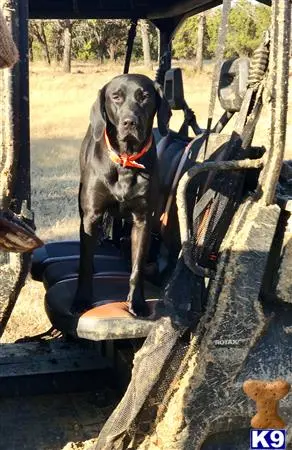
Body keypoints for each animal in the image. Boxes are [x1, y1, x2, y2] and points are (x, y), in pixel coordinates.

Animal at [72, 74, 170, 314]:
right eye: (116, 97)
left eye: (144, 96)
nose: (129, 122)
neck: (126, 161)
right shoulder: (92, 215)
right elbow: (85, 263)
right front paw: (82, 300)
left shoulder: (143, 220)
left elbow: (137, 267)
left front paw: (137, 303)